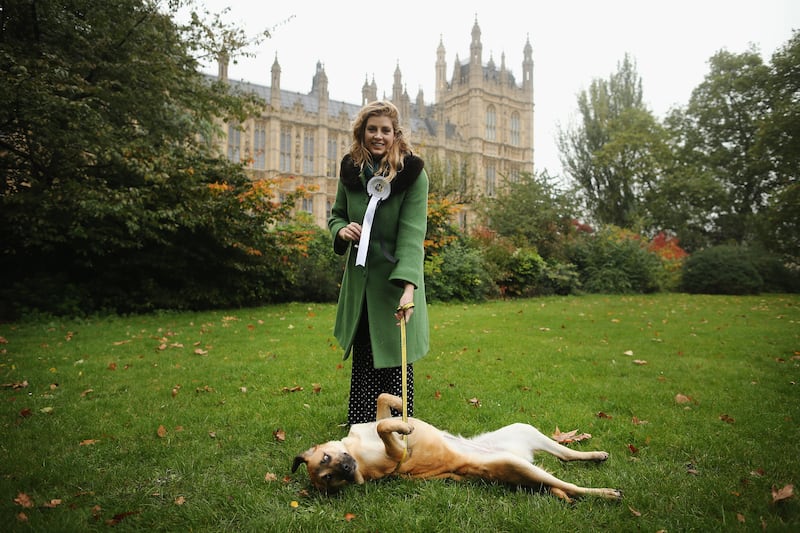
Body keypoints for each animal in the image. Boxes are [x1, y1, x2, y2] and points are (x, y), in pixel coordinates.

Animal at [290, 392, 620, 500]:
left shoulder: (376, 425)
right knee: (570, 485)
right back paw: (606, 493)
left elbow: (383, 407)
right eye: (329, 478)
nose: (347, 468)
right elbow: (386, 428)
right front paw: (402, 425)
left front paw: (401, 405)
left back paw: (595, 454)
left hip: (523, 429)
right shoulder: (396, 455)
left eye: (327, 457)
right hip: (516, 465)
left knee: (566, 456)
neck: (356, 447)